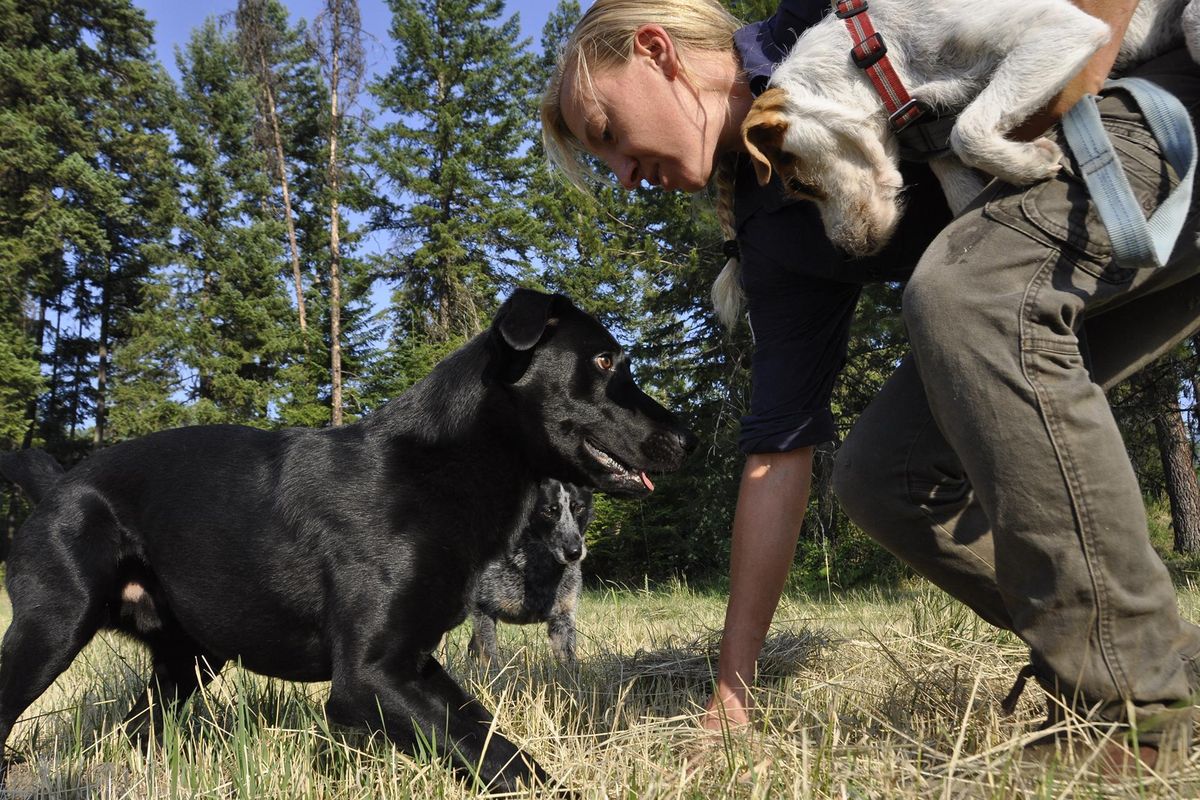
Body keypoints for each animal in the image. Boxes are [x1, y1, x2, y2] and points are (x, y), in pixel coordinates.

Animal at [472, 479, 595, 666]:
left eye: (579, 508)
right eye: (548, 511)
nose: (574, 552)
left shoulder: (562, 618)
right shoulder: (483, 610)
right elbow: (491, 659)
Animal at [744, 0, 1195, 257]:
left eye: (799, 185)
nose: (846, 252)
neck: (872, 51)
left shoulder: (1060, 28)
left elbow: (967, 131)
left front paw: (1029, 163)